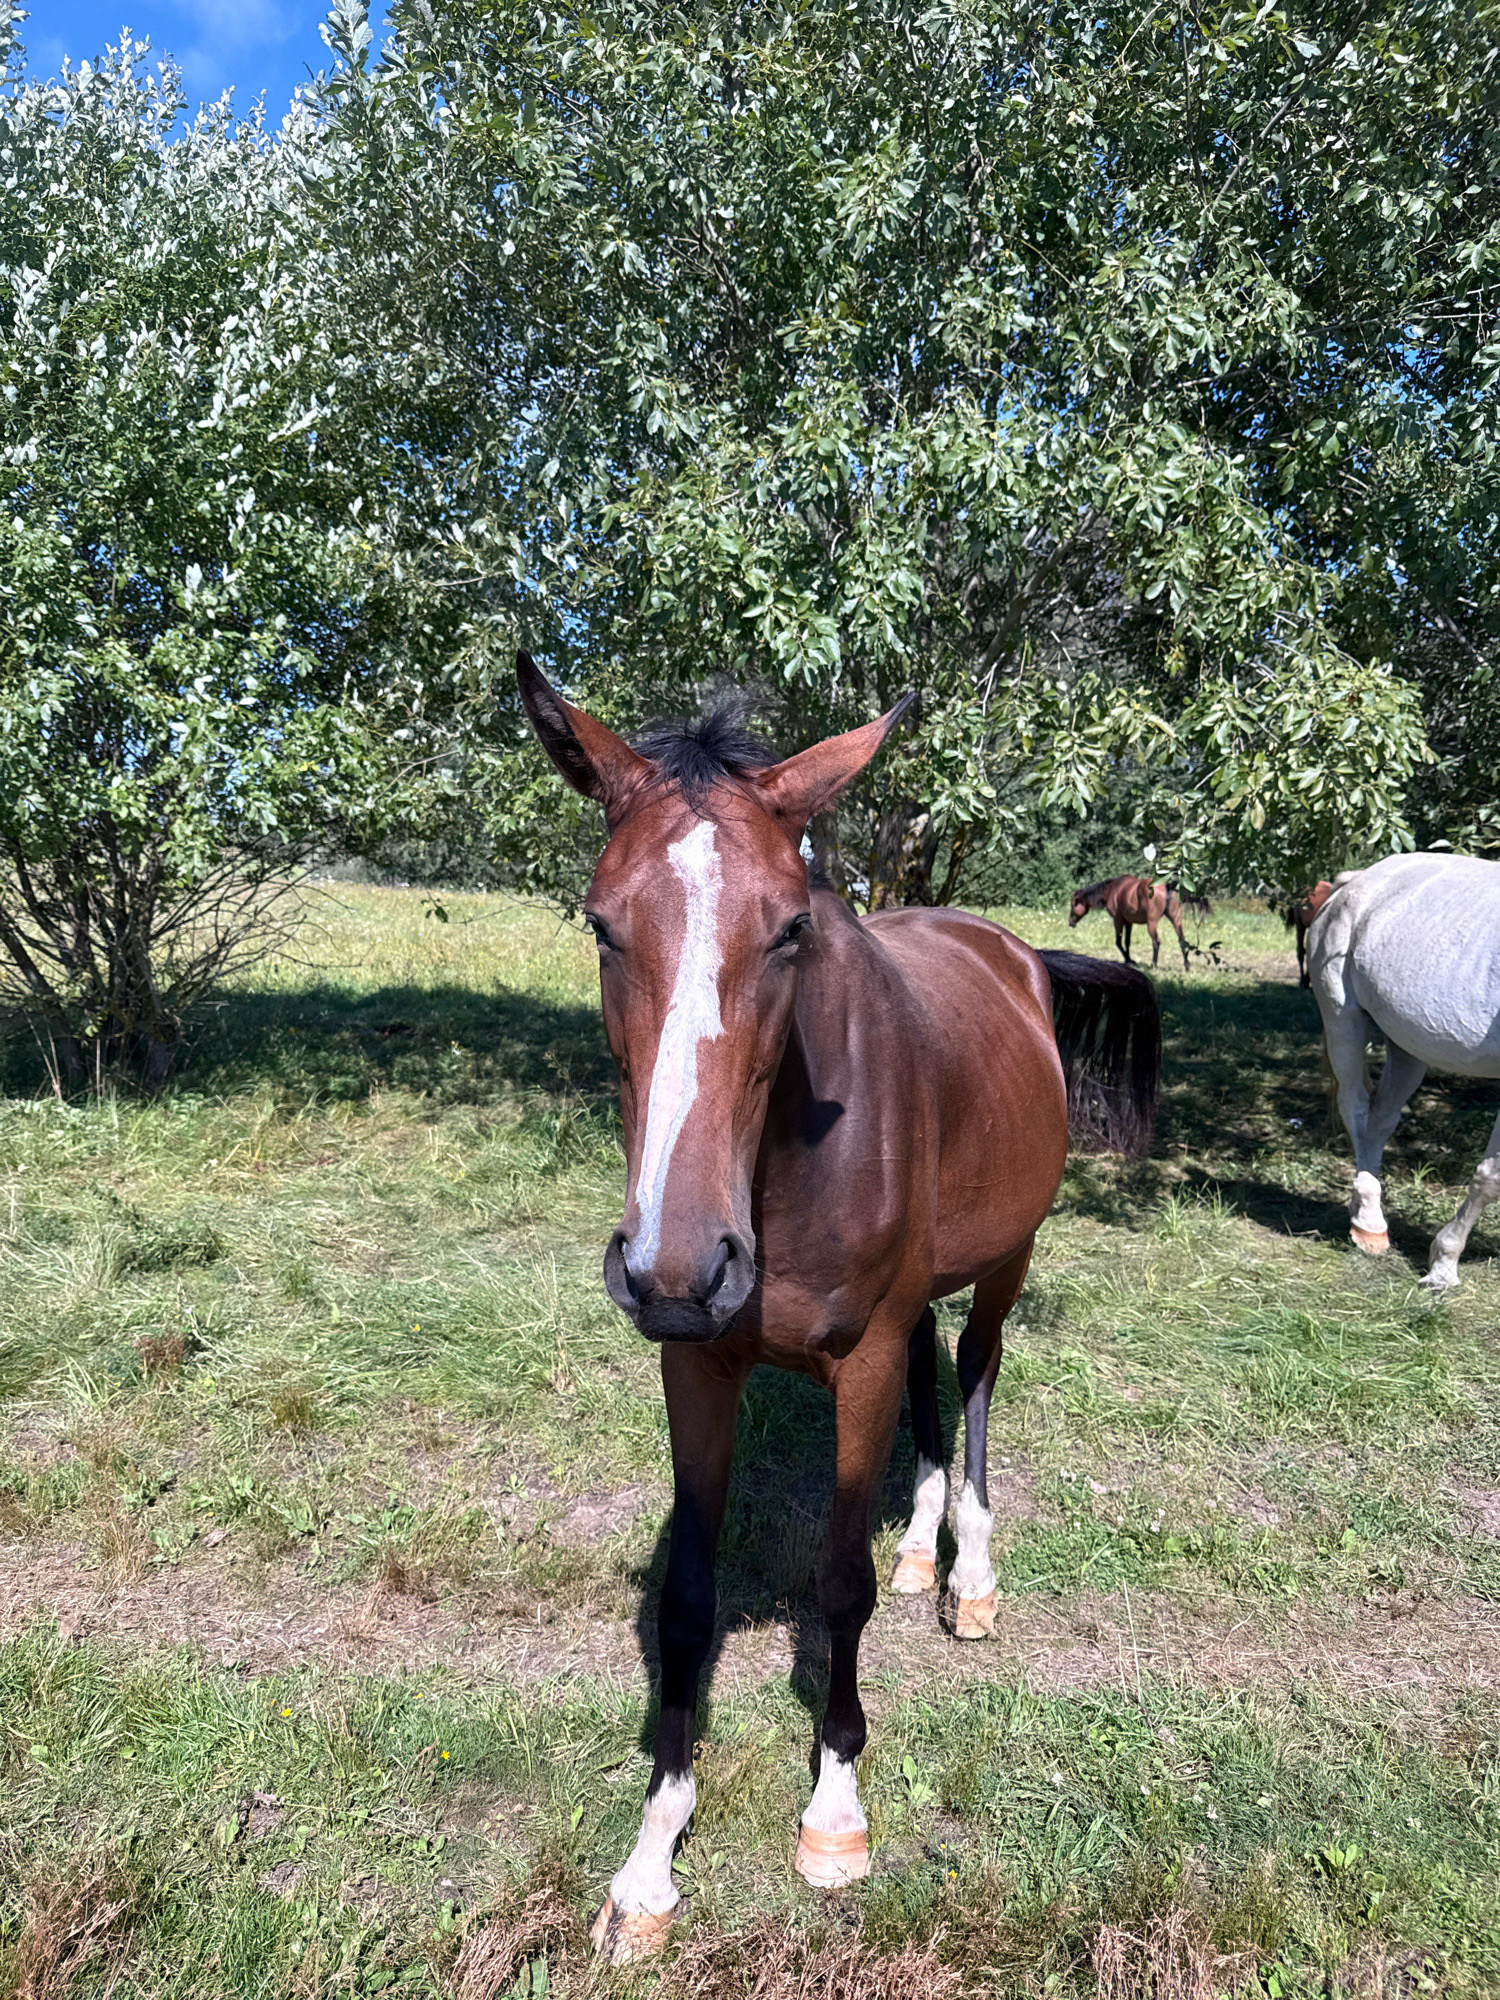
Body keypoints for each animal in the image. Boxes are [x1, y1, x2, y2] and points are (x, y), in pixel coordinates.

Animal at [516, 654, 1162, 1961]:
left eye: (792, 926)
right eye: (602, 923)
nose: (677, 1265)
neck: (783, 1166)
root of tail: (1008, 949)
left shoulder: (854, 1360)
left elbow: (837, 1587)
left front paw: (835, 1807)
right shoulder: (697, 1366)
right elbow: (690, 1599)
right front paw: (653, 1851)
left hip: (1009, 1255)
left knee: (973, 1371)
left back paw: (969, 1569)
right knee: (931, 1372)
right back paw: (922, 1543)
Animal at [1068, 874, 1212, 971]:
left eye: (1073, 905)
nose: (1070, 923)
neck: (1112, 890)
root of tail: (1167, 886)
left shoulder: (1118, 920)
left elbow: (1118, 942)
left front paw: (1129, 960)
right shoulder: (1129, 922)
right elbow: (1127, 942)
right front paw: (1129, 960)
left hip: (1151, 923)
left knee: (1156, 942)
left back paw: (1153, 965)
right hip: (1176, 919)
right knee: (1182, 940)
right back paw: (1186, 966)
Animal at [1309, 851, 1500, 1287]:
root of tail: (1357, 878)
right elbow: (1491, 1176)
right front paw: (1443, 1267)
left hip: (1408, 1045)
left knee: (1380, 1120)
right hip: (1342, 1018)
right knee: (1356, 1109)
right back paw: (1369, 1225)